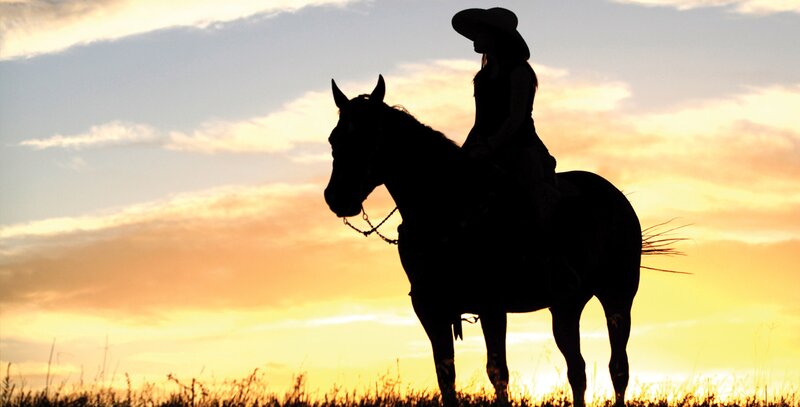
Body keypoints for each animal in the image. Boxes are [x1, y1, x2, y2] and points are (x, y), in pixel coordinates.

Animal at [324, 75, 642, 407]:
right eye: (334, 139)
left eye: (370, 135)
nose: (337, 197)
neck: (450, 209)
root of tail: (617, 198)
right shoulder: (430, 308)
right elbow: (445, 375)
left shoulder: (492, 305)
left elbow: (497, 372)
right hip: (566, 305)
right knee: (577, 369)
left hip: (617, 296)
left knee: (618, 368)